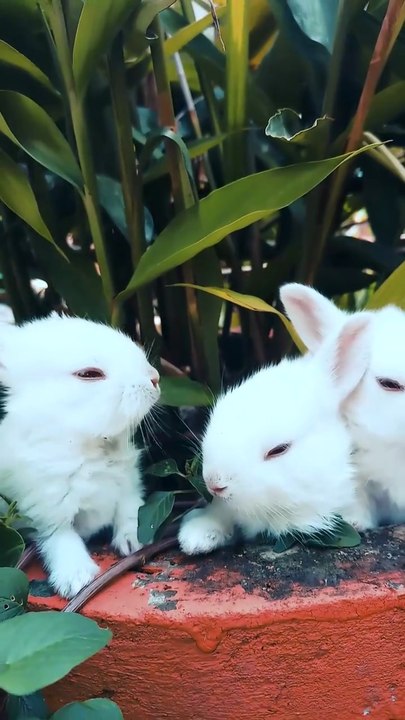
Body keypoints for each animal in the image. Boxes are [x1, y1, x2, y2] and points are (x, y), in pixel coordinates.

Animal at [0, 315, 160, 598]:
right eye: (89, 374)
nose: (155, 377)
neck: (89, 447)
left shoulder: (129, 483)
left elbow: (130, 508)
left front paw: (134, 540)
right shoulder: (46, 512)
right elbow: (60, 539)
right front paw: (76, 580)